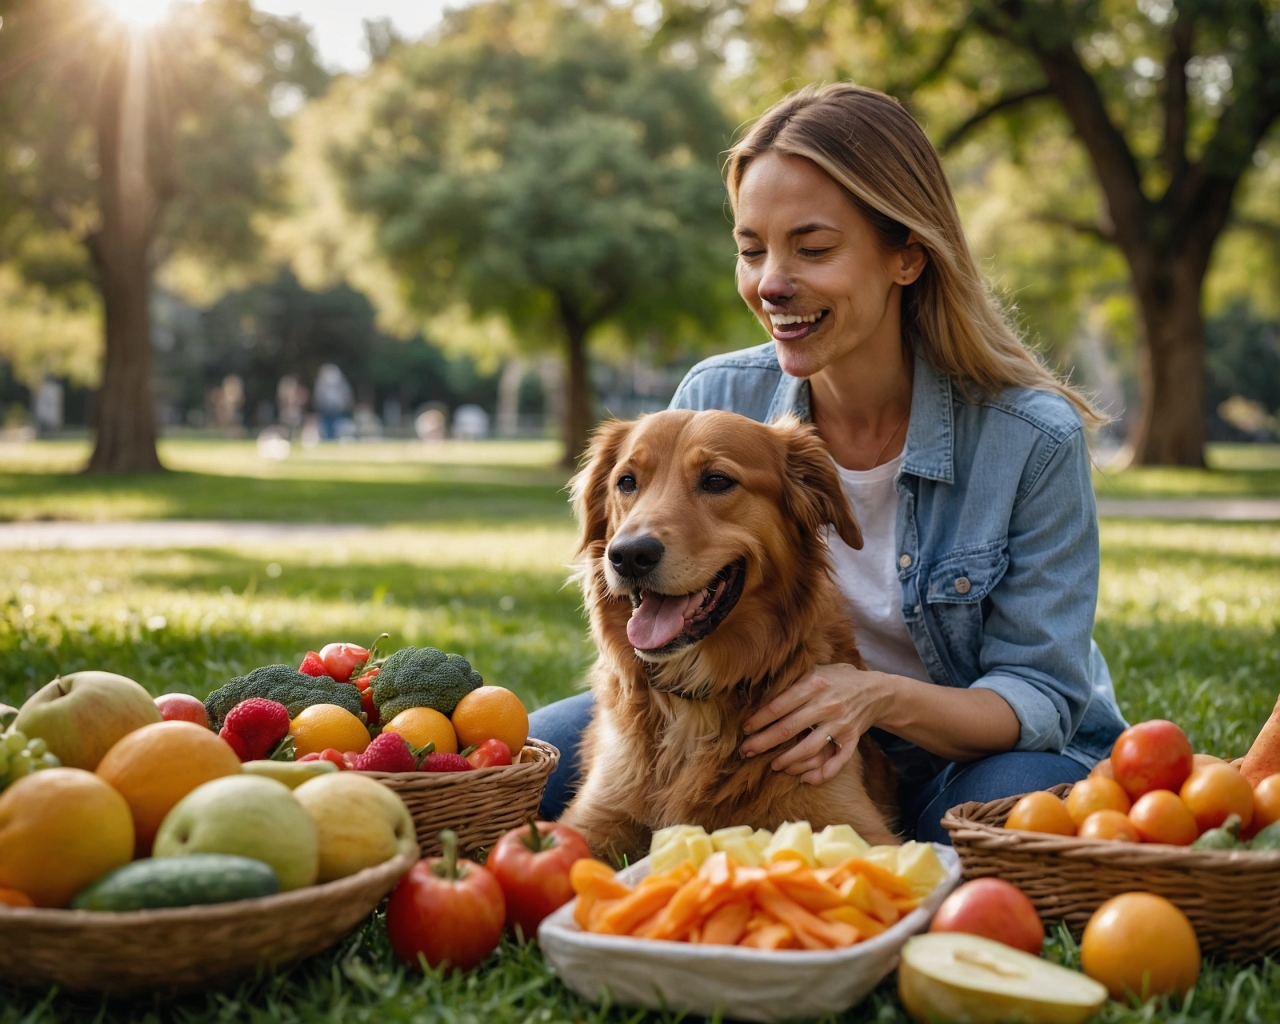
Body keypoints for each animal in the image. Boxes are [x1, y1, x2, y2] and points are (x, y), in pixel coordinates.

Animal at [560, 404, 901, 860]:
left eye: (717, 481)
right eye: (626, 482)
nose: (628, 555)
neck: (693, 705)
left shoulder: (859, 824)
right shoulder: (591, 820)